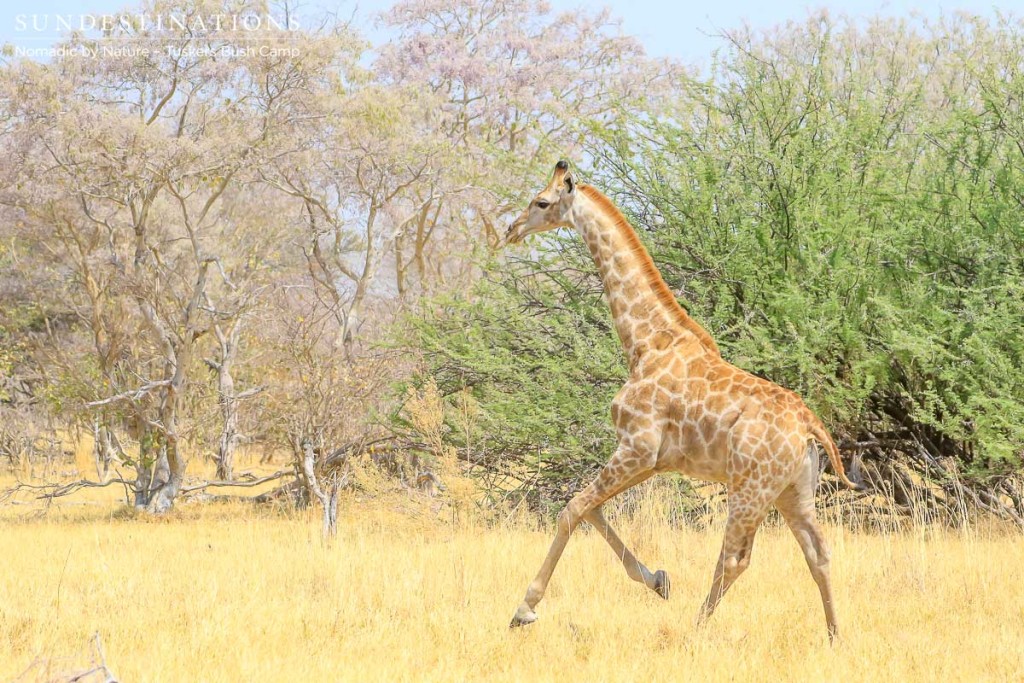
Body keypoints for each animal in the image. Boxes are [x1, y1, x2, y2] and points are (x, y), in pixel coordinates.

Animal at [501, 158, 856, 643]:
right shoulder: (653, 460)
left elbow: (572, 509)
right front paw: (658, 580)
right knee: (818, 553)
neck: (645, 342)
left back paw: (695, 629)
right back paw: (835, 635)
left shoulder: (637, 446)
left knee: (735, 559)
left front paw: (524, 609)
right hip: (793, 492)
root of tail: (808, 424)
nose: (511, 229)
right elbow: (591, 509)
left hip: (749, 489)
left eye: (541, 202)